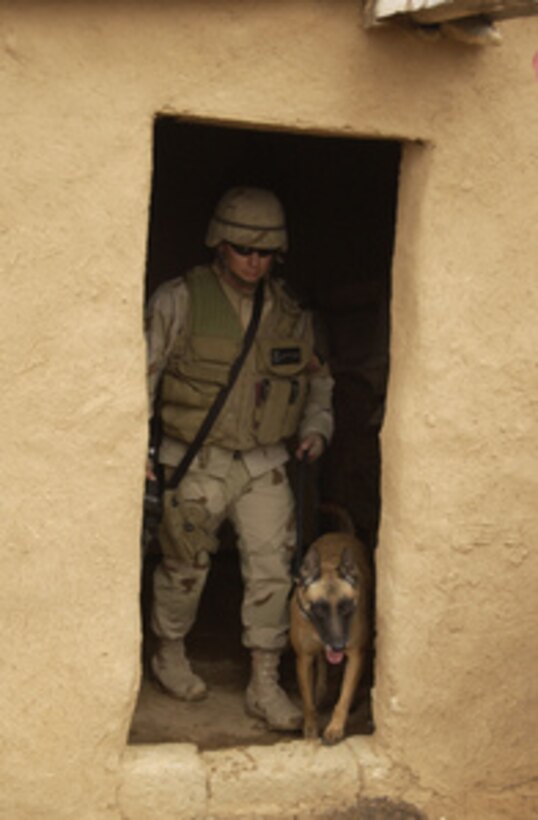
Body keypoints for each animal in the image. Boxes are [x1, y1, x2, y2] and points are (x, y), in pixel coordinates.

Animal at [288, 506, 368, 744]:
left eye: (346, 607)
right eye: (319, 609)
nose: (339, 645)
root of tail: (341, 533)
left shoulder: (356, 655)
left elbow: (344, 697)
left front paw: (335, 727)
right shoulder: (303, 659)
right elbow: (307, 702)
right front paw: (310, 727)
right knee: (322, 664)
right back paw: (321, 689)